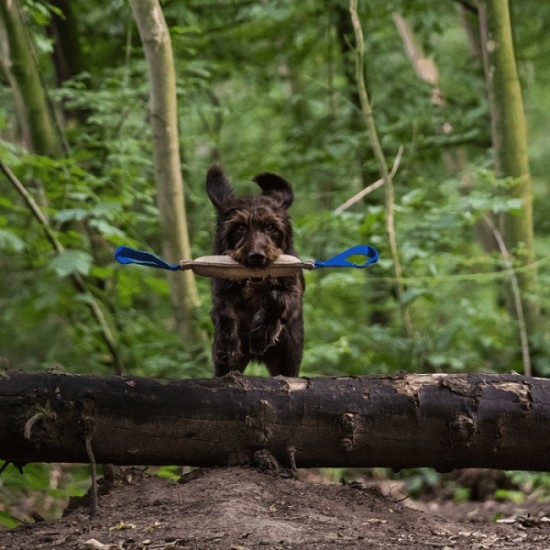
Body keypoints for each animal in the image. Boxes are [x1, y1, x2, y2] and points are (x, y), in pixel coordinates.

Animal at [208, 164, 306, 380]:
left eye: (270, 227)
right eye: (240, 228)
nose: (256, 256)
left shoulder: (293, 294)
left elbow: (277, 298)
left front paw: (262, 334)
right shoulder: (220, 293)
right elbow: (224, 311)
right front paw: (227, 344)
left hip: (288, 356)